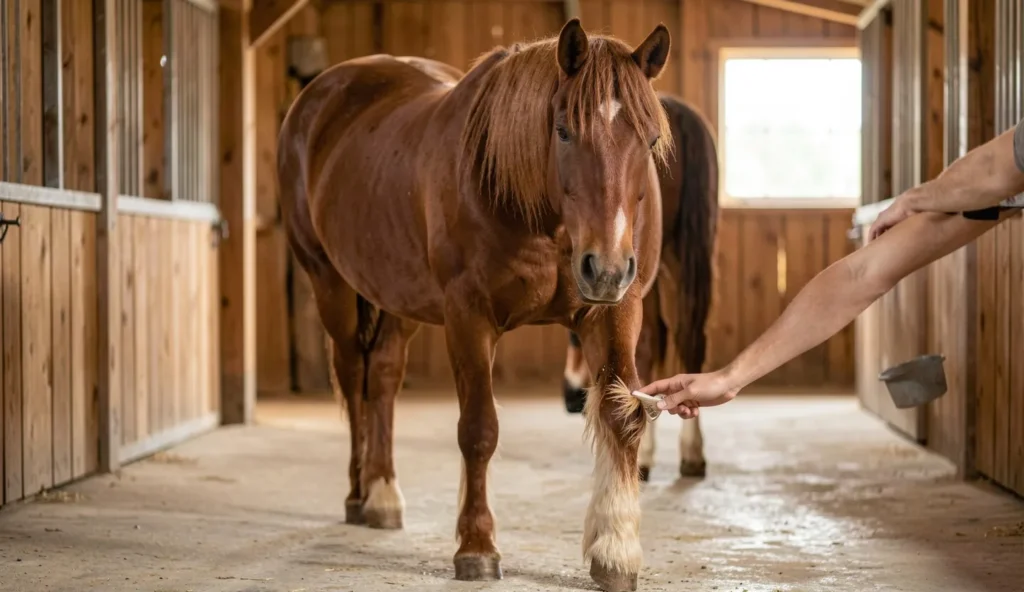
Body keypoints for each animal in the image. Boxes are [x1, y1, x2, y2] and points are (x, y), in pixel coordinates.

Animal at [277, 17, 673, 592]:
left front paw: (616, 551)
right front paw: (477, 546)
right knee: (353, 378)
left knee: (384, 378)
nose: (606, 267)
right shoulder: (468, 315)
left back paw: (383, 493)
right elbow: (479, 430)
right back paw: (358, 493)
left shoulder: (617, 310)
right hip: (330, 283)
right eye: (563, 131)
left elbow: (622, 416)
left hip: (398, 296)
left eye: (649, 138)